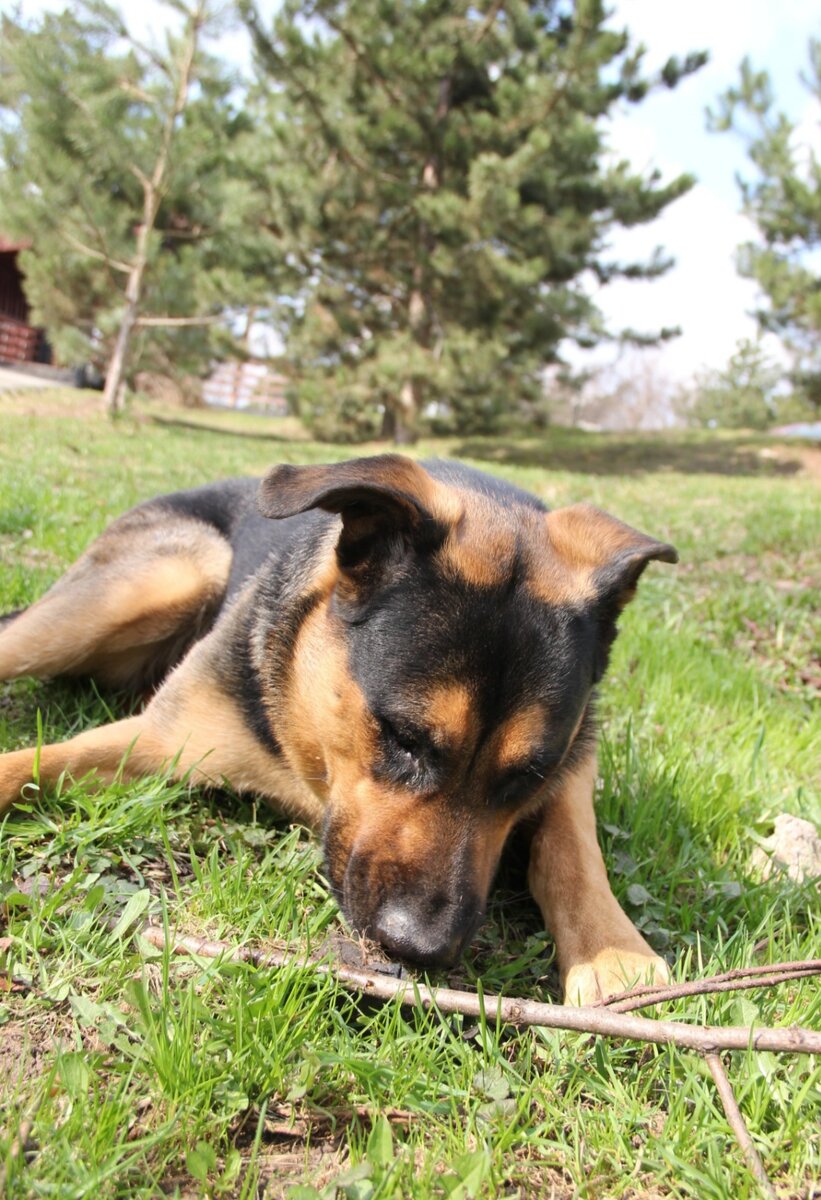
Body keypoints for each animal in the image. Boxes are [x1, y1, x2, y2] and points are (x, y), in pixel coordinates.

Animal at [1, 456, 681, 1003]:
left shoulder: (575, 761)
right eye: (402, 737)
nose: (422, 948)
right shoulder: (163, 734)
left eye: (529, 774)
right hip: (165, 577)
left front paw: (613, 951)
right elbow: (30, 763)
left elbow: (572, 848)